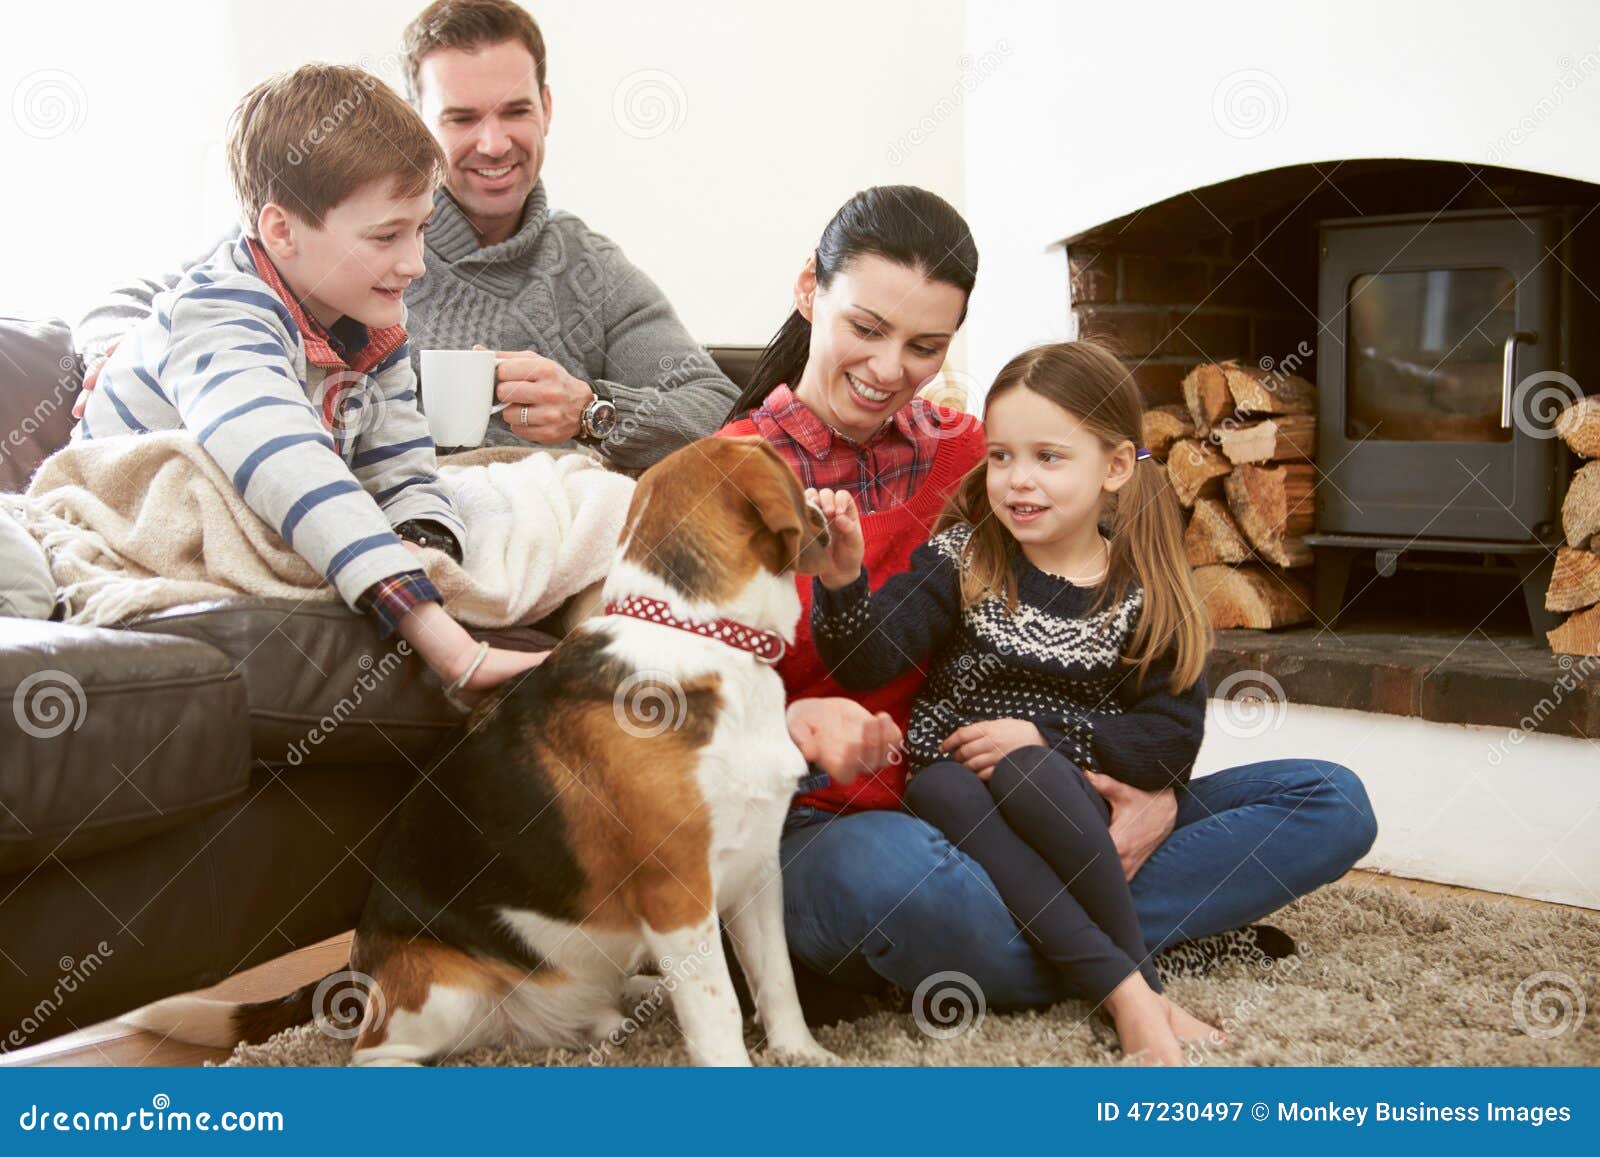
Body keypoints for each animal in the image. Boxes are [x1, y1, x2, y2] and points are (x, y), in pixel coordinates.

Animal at [124, 435, 838, 1068]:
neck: (700, 634)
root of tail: (360, 969)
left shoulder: (756, 872)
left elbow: (776, 980)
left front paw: (801, 1053)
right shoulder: (679, 894)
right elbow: (718, 1011)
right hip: (443, 995)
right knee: (373, 1053)